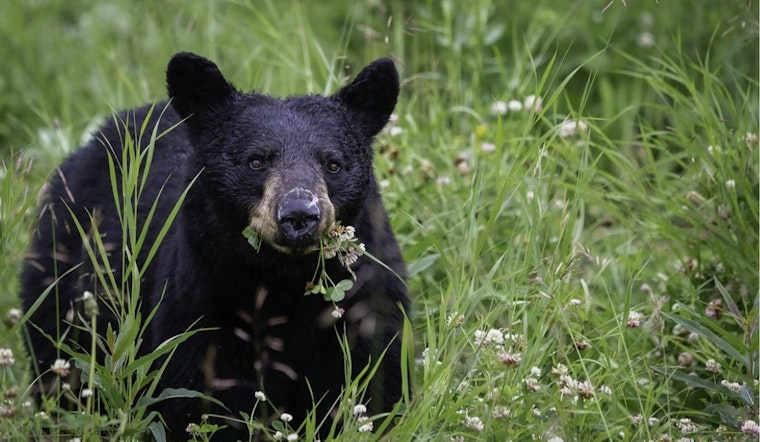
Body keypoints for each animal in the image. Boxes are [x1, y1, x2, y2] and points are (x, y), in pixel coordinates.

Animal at [19, 52, 409, 440]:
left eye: (333, 164)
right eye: (256, 160)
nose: (300, 214)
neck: (284, 281)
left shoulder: (366, 301)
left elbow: (376, 381)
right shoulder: (203, 302)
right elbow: (204, 397)